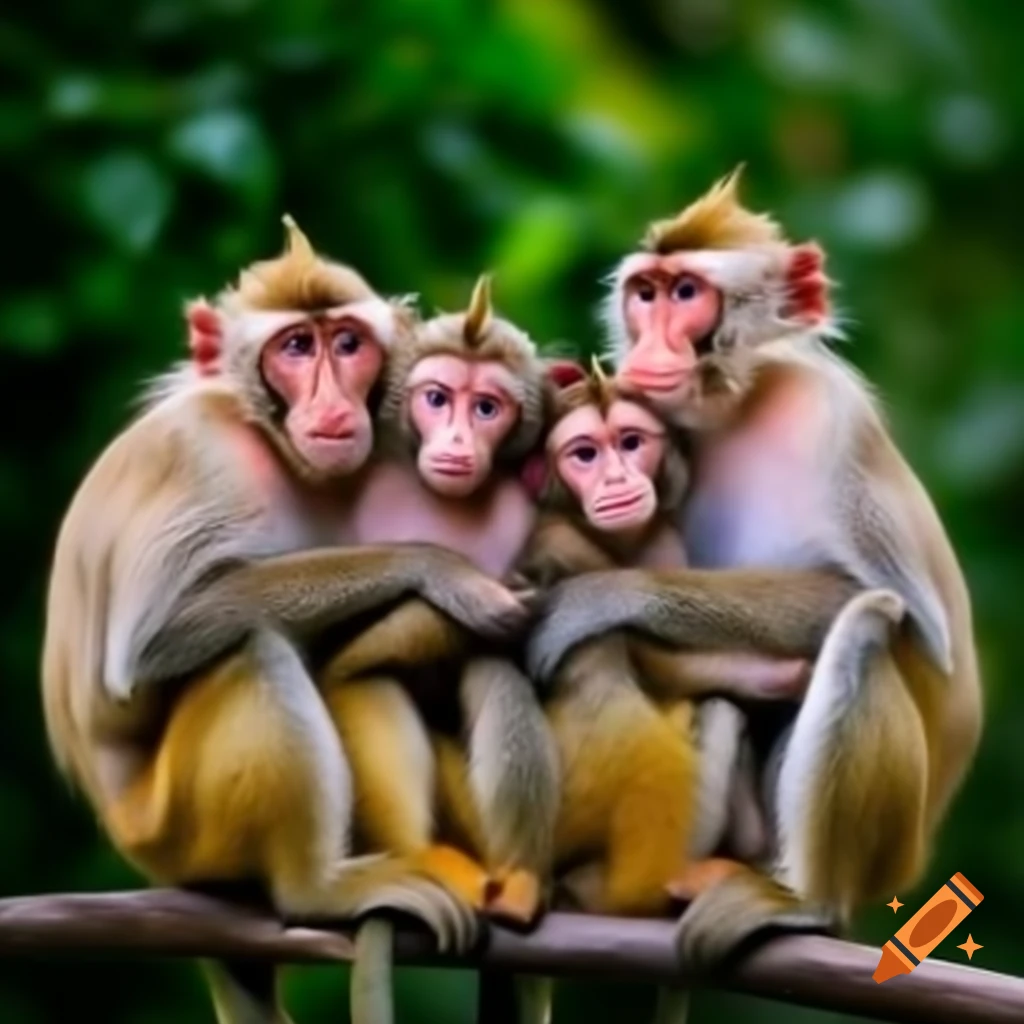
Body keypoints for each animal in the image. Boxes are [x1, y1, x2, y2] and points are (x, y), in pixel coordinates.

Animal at [40, 218, 534, 1024]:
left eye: (348, 343)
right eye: (297, 347)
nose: (333, 400)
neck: (266, 441)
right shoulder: (199, 458)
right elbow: (148, 647)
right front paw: (441, 569)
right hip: (177, 826)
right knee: (253, 656)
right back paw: (319, 888)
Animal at [523, 168, 982, 970]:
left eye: (686, 293)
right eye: (646, 293)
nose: (651, 340)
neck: (742, 399)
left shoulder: (836, 422)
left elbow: (900, 614)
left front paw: (601, 595)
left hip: (885, 852)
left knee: (868, 630)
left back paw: (808, 902)